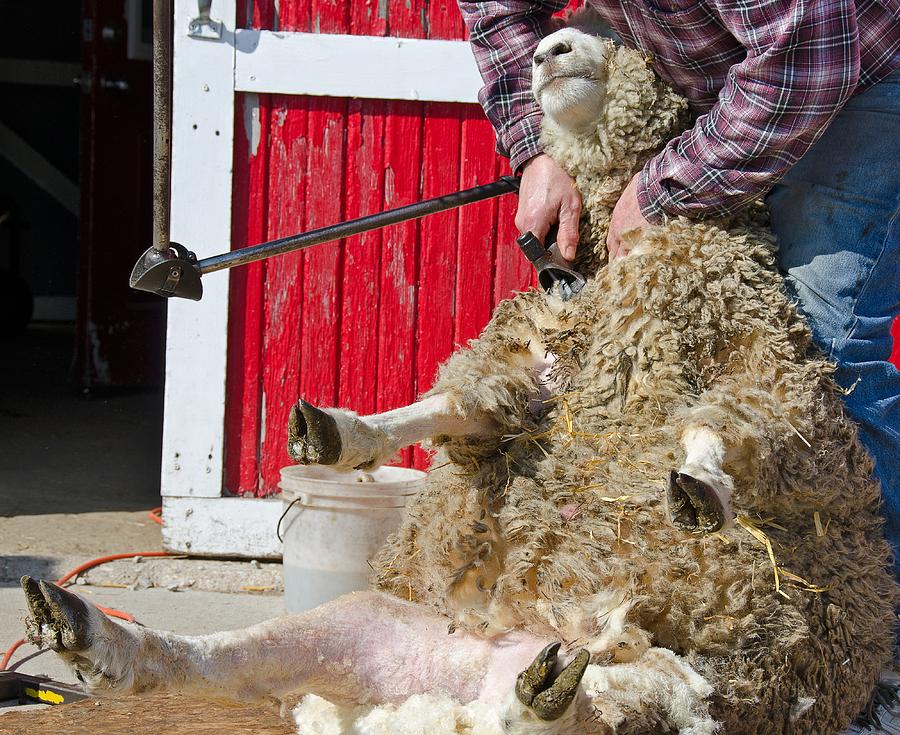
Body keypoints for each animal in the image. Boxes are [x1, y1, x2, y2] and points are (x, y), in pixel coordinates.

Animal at [19, 24, 892, 735]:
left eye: (634, 49)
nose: (549, 50)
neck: (605, 275)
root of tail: (460, 688)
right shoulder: (530, 374)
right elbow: (451, 406)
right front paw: (339, 432)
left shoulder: (770, 367)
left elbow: (725, 423)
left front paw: (700, 484)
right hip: (368, 624)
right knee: (217, 661)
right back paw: (86, 630)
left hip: (697, 683)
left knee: (601, 706)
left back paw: (543, 694)